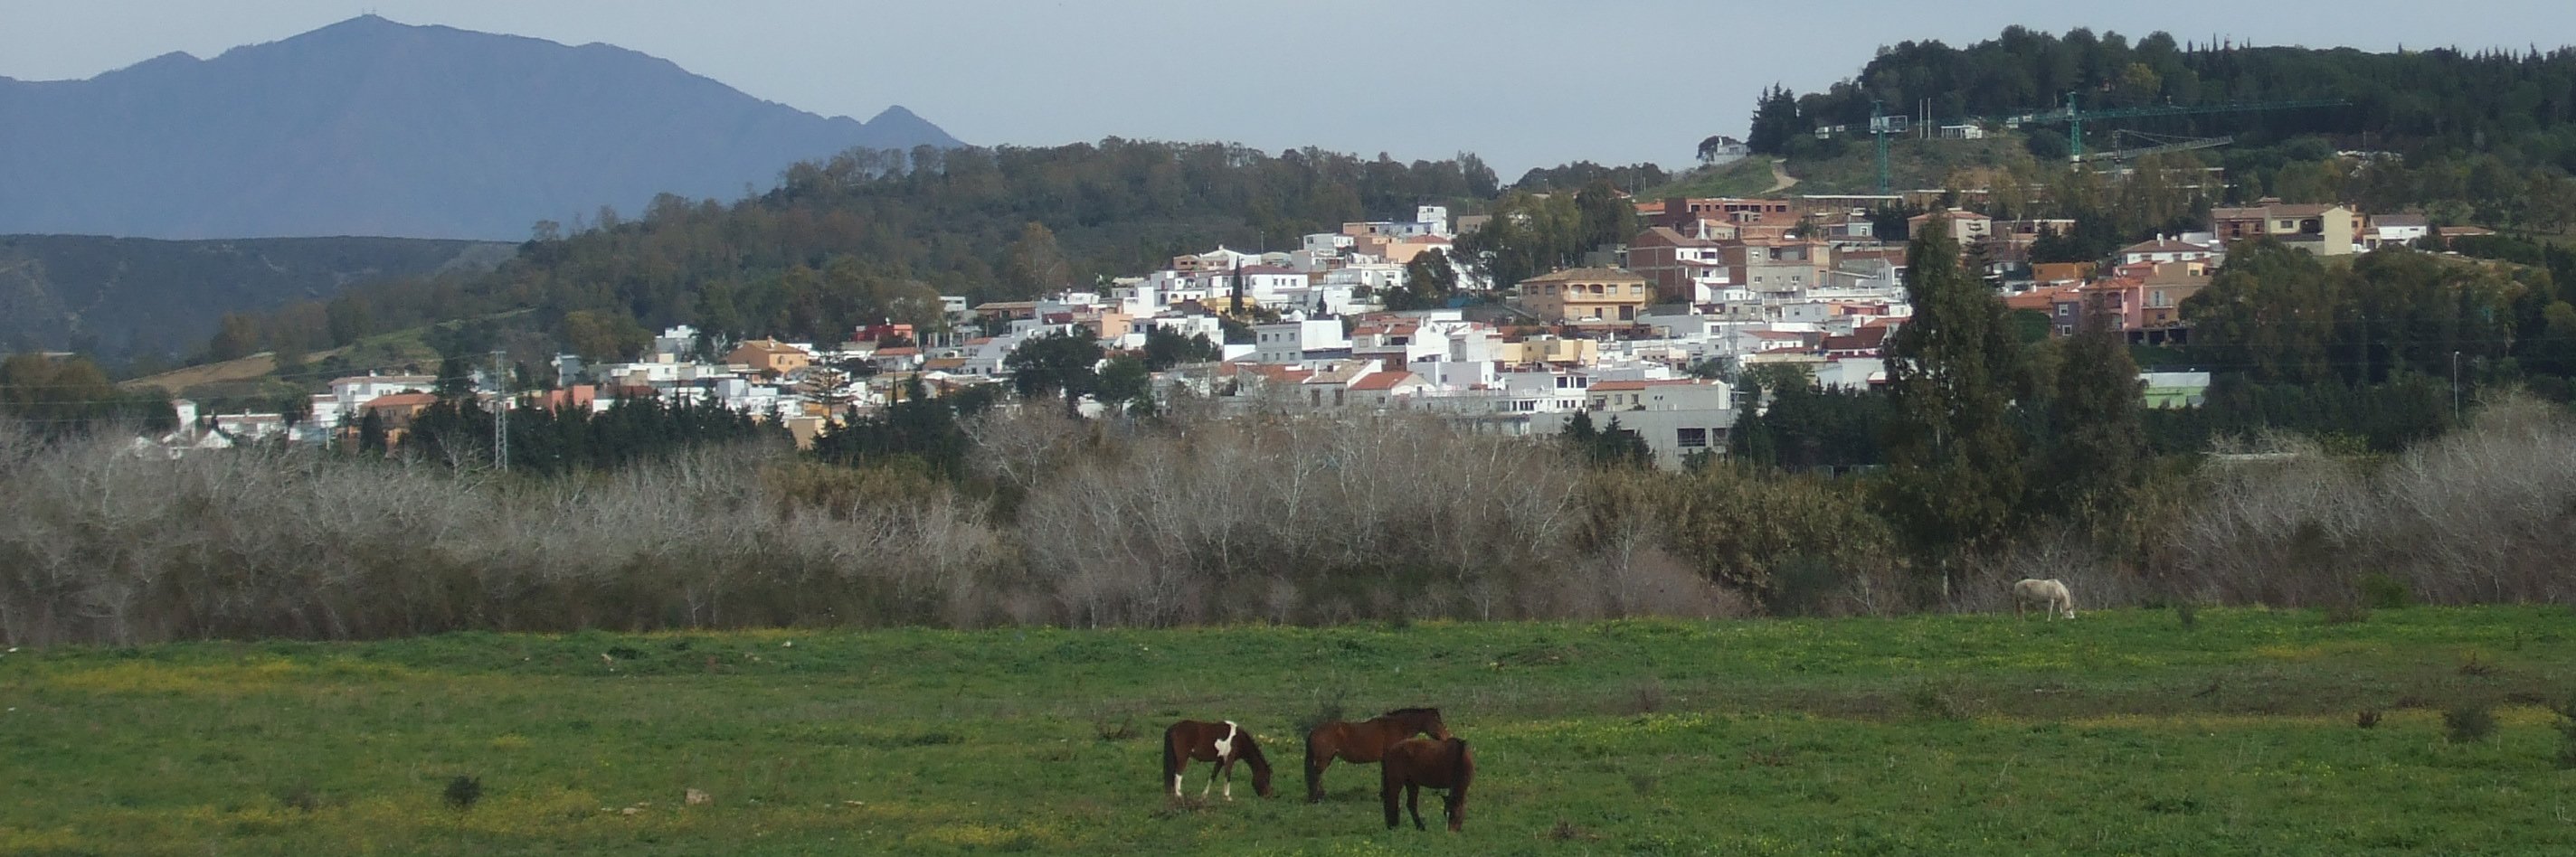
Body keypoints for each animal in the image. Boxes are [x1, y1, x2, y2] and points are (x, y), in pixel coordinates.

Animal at [1308, 705, 1453, 797]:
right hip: (1323, 759)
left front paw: (1383, 794)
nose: (1447, 737)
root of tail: (1314, 730)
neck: (1397, 727)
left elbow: (1383, 775)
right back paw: (1317, 797)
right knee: (1316, 775)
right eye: (1437, 721)